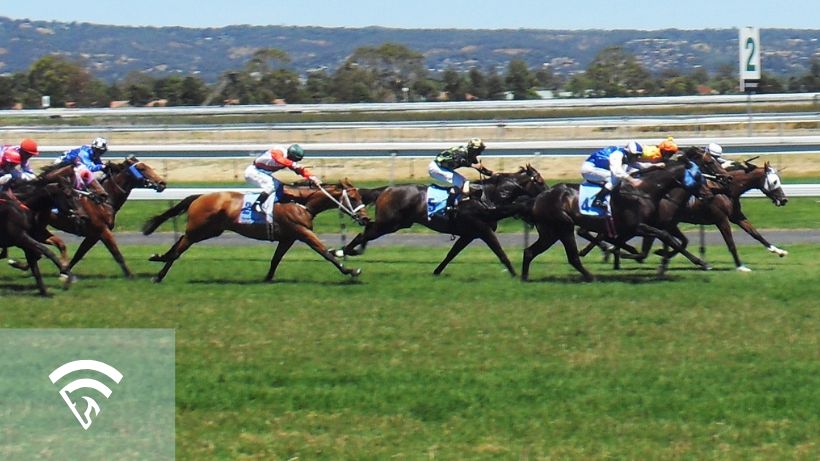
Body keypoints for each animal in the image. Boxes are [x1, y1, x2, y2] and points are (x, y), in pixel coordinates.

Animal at [143, 178, 368, 282]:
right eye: (353, 197)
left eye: (361, 196)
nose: (365, 218)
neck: (301, 202)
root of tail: (199, 196)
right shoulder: (302, 232)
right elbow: (325, 252)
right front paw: (350, 270)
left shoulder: (288, 237)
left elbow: (275, 259)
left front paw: (267, 278)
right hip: (200, 230)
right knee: (181, 247)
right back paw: (159, 274)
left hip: (209, 230)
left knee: (180, 240)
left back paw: (159, 258)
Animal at [340, 164, 544, 274]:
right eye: (540, 181)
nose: (548, 192)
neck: (488, 198)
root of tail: (385, 189)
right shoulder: (483, 230)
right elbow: (500, 253)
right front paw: (515, 274)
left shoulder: (469, 234)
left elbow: (451, 254)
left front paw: (436, 272)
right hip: (389, 224)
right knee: (363, 234)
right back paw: (344, 251)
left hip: (395, 223)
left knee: (366, 230)